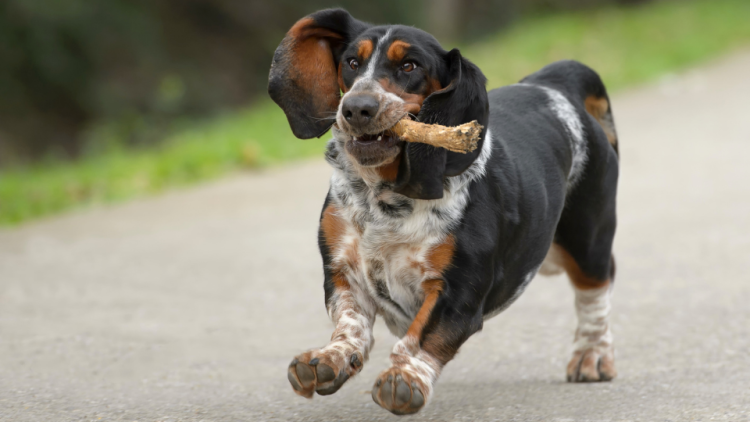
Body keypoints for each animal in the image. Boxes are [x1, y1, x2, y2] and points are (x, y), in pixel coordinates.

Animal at [268, 8, 620, 418]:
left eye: (409, 65)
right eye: (352, 62)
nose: (356, 107)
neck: (387, 198)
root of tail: (553, 85)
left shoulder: (457, 290)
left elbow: (423, 336)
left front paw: (405, 379)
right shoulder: (343, 272)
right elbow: (350, 324)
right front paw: (330, 358)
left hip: (587, 237)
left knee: (595, 291)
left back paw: (592, 357)